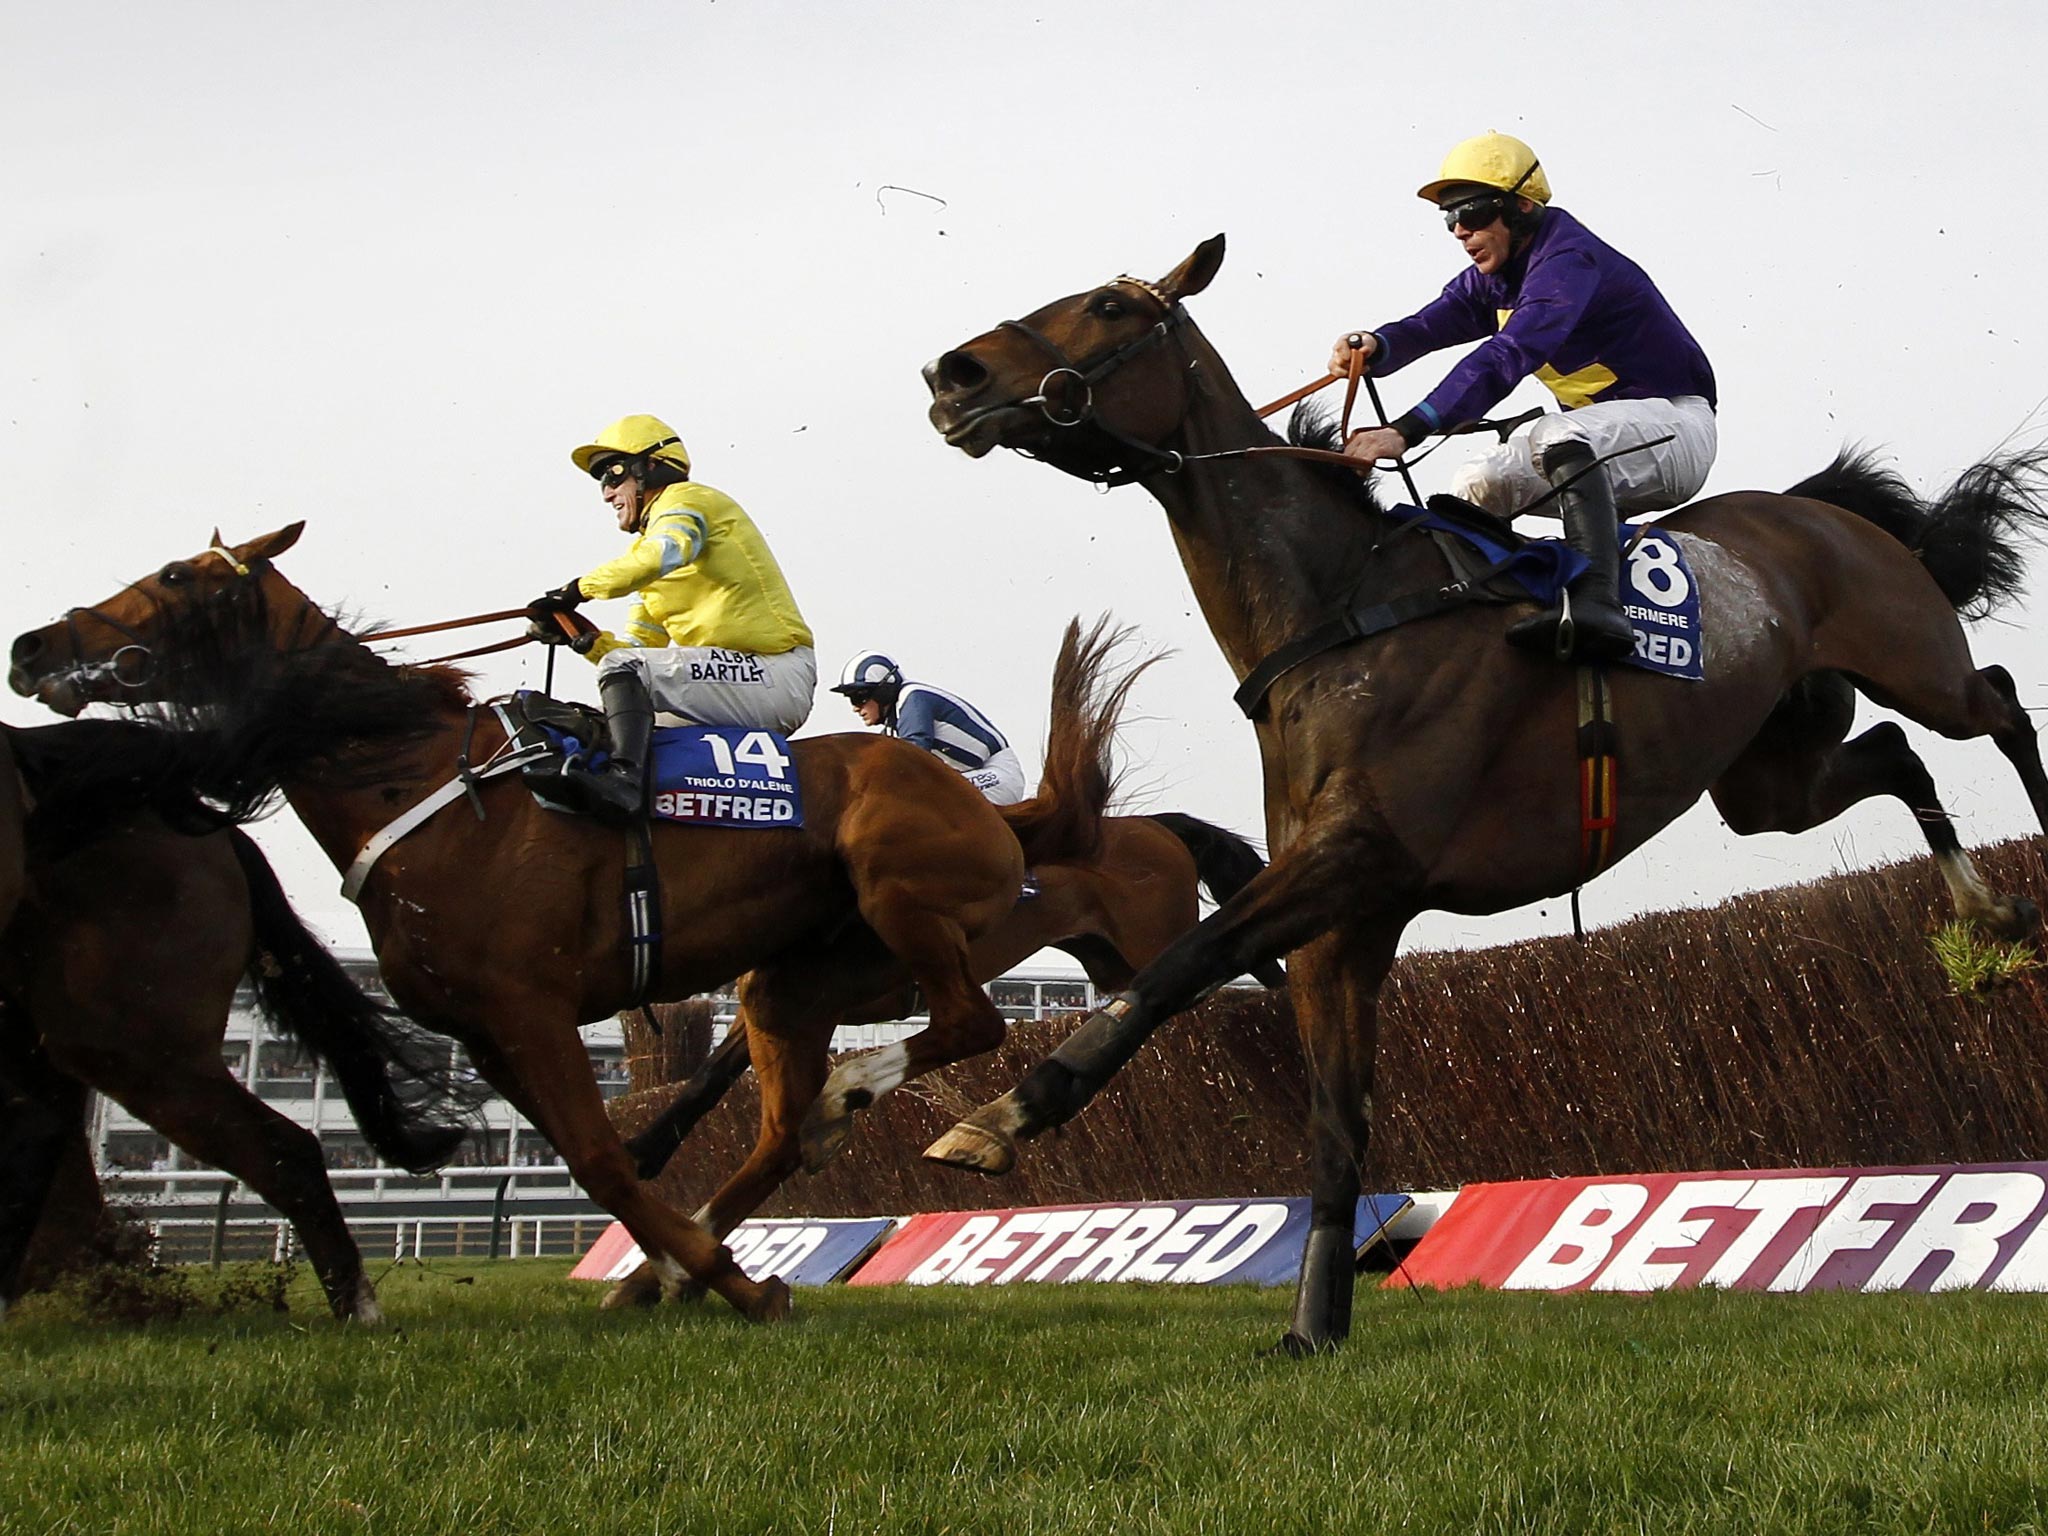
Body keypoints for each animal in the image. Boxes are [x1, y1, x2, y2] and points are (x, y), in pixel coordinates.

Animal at [925, 234, 2048, 1351]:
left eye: (1111, 307)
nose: (952, 374)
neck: (1340, 615)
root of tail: (1817, 509)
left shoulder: (1360, 855)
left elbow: (1182, 964)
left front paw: (999, 1116)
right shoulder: (1348, 921)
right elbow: (1334, 1123)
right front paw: (1313, 1327)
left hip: (1913, 660)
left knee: (1993, 703)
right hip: (1768, 778)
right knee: (1897, 754)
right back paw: (1984, 908)